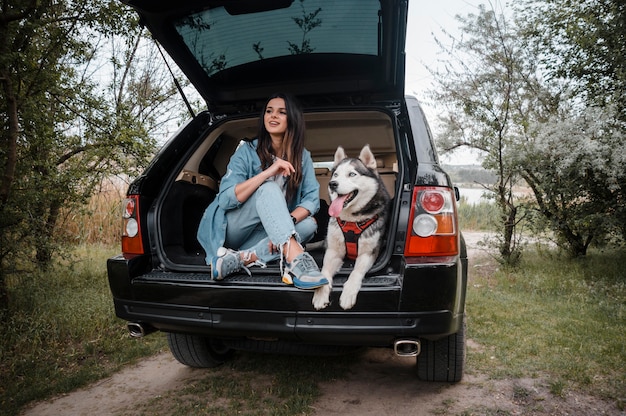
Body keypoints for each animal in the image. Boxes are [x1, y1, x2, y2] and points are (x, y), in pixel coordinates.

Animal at [310, 145, 388, 310]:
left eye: (352, 174)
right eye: (336, 175)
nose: (332, 184)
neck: (351, 220)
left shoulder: (368, 253)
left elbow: (356, 272)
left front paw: (348, 293)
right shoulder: (333, 251)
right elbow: (324, 270)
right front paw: (320, 294)